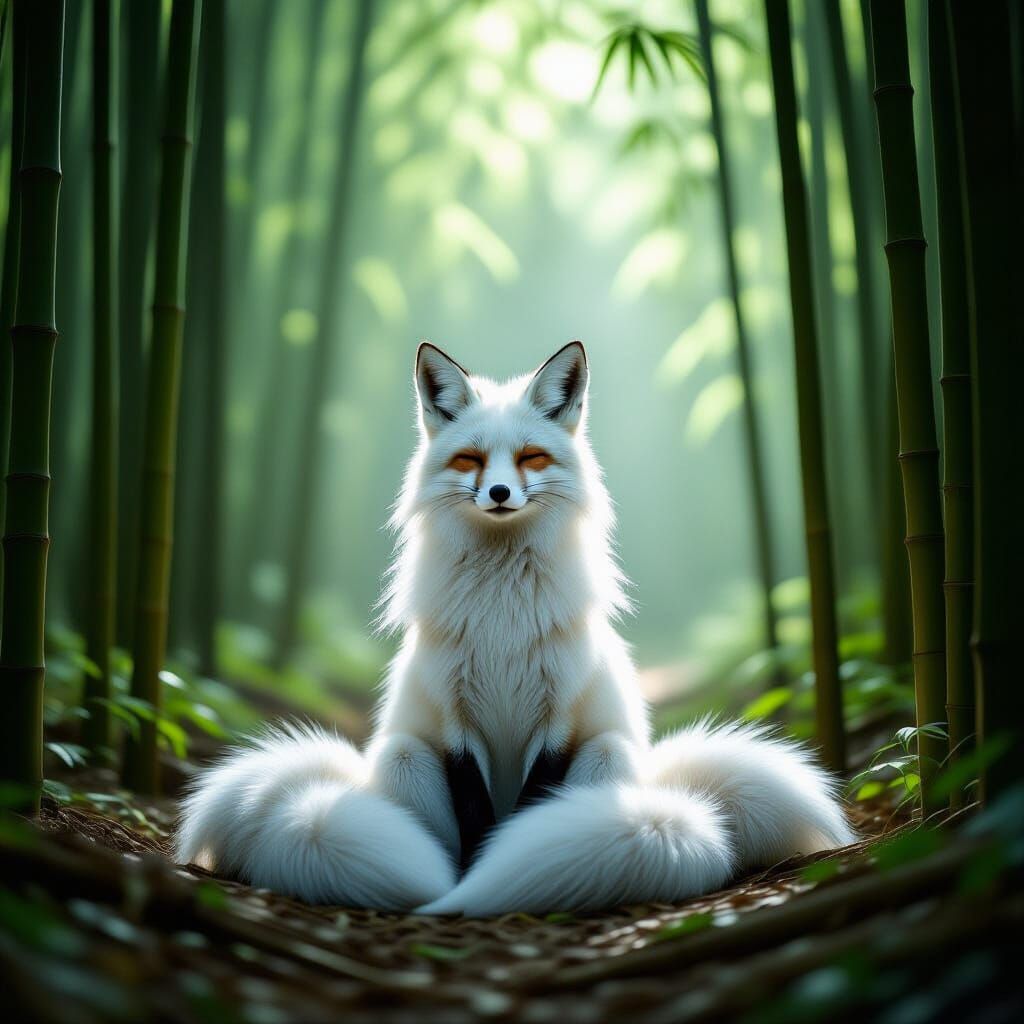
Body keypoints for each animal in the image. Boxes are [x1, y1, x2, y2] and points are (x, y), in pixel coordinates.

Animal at [176, 341, 854, 915]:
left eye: (531, 456)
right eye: (471, 459)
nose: (500, 491)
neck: (501, 618)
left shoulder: (557, 714)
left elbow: (528, 809)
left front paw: (501, 872)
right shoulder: (454, 717)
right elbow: (478, 815)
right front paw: (471, 882)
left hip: (607, 752)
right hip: (403, 754)